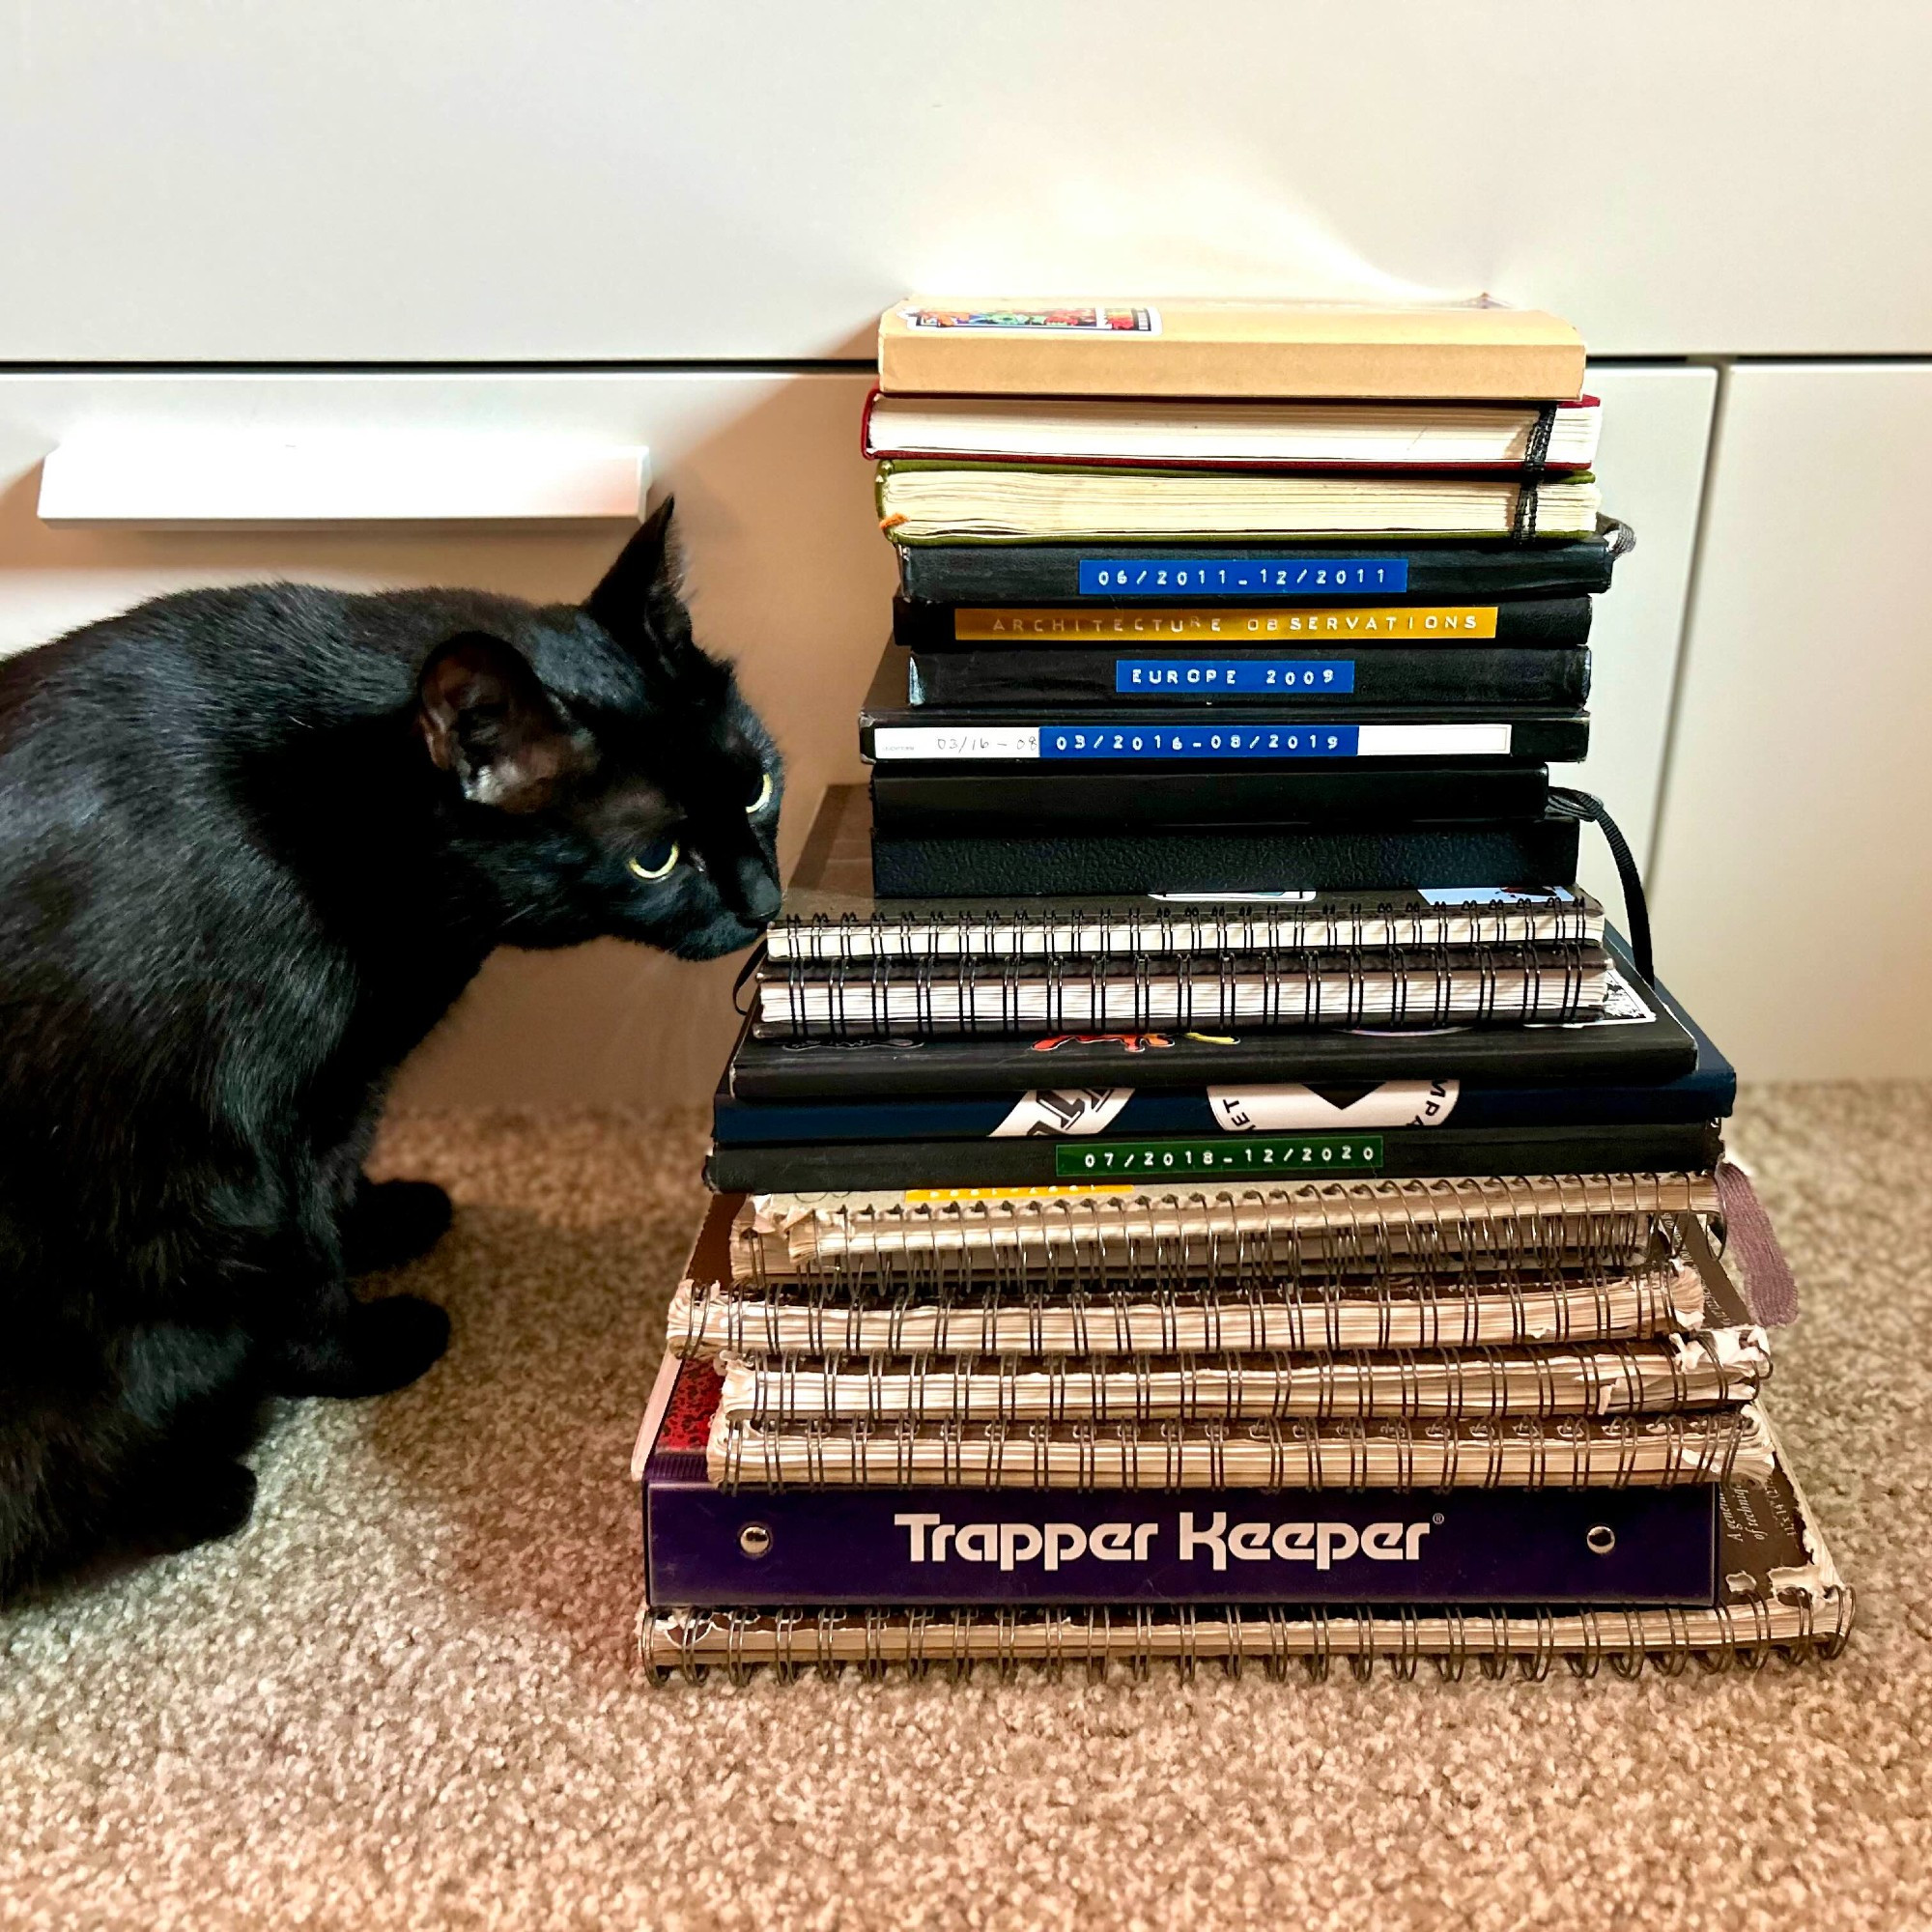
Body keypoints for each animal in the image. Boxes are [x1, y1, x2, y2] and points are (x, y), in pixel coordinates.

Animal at [1, 502, 784, 1600]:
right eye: (654, 857)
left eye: (754, 784)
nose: (764, 900)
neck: (332, 810)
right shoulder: (234, 1136)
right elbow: (298, 1259)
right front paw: (363, 1352)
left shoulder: (346, 1084)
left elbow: (334, 1190)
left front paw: (389, 1218)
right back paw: (198, 1487)